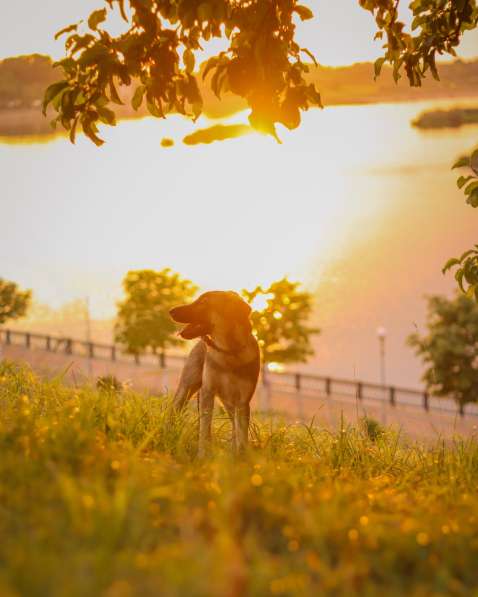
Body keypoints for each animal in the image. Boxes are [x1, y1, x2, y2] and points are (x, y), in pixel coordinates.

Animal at [171, 292, 262, 454]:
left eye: (203, 303)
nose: (171, 311)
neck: (229, 352)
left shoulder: (243, 401)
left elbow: (241, 434)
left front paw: (241, 456)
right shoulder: (208, 391)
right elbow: (204, 429)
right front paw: (202, 455)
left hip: (230, 403)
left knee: (234, 425)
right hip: (186, 389)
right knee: (174, 410)